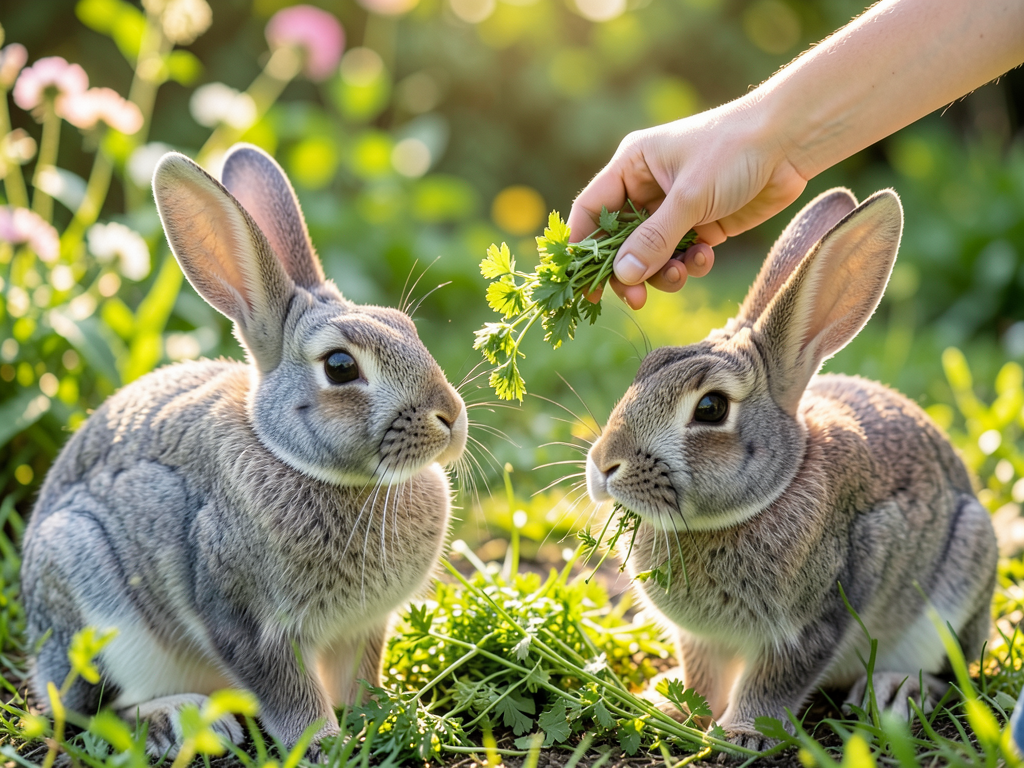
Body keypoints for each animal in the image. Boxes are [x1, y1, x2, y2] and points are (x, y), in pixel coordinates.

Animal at [21, 143, 468, 759]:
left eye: (406, 328)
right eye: (340, 366)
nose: (450, 417)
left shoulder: (362, 629)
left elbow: (361, 679)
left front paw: (398, 722)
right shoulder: (249, 624)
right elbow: (290, 697)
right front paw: (326, 746)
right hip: (90, 594)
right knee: (92, 711)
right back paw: (181, 722)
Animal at [585, 188, 998, 750]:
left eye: (711, 408)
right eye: (646, 369)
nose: (604, 463)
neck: (766, 497)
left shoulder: (815, 620)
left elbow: (774, 682)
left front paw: (741, 735)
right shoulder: (700, 639)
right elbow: (700, 673)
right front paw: (673, 708)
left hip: (959, 580)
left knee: (947, 673)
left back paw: (896, 691)